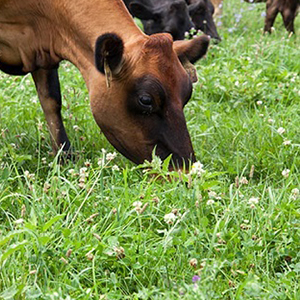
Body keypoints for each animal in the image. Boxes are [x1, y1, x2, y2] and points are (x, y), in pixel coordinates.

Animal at [0, 0, 211, 169]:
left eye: (186, 96)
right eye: (146, 100)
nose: (185, 171)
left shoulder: (42, 50)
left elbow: (51, 102)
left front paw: (65, 158)